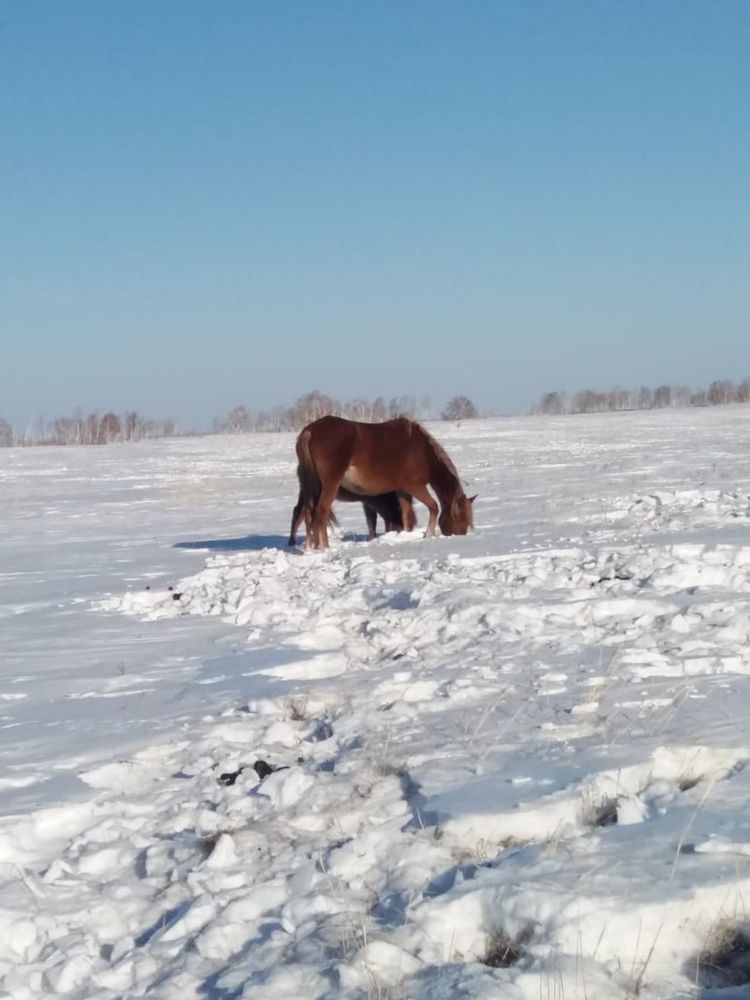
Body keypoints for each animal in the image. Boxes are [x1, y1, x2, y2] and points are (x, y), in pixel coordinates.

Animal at [288, 486, 418, 548]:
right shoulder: (370, 502)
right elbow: (374, 521)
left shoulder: (368, 503)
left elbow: (372, 522)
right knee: (301, 512)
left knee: (298, 511)